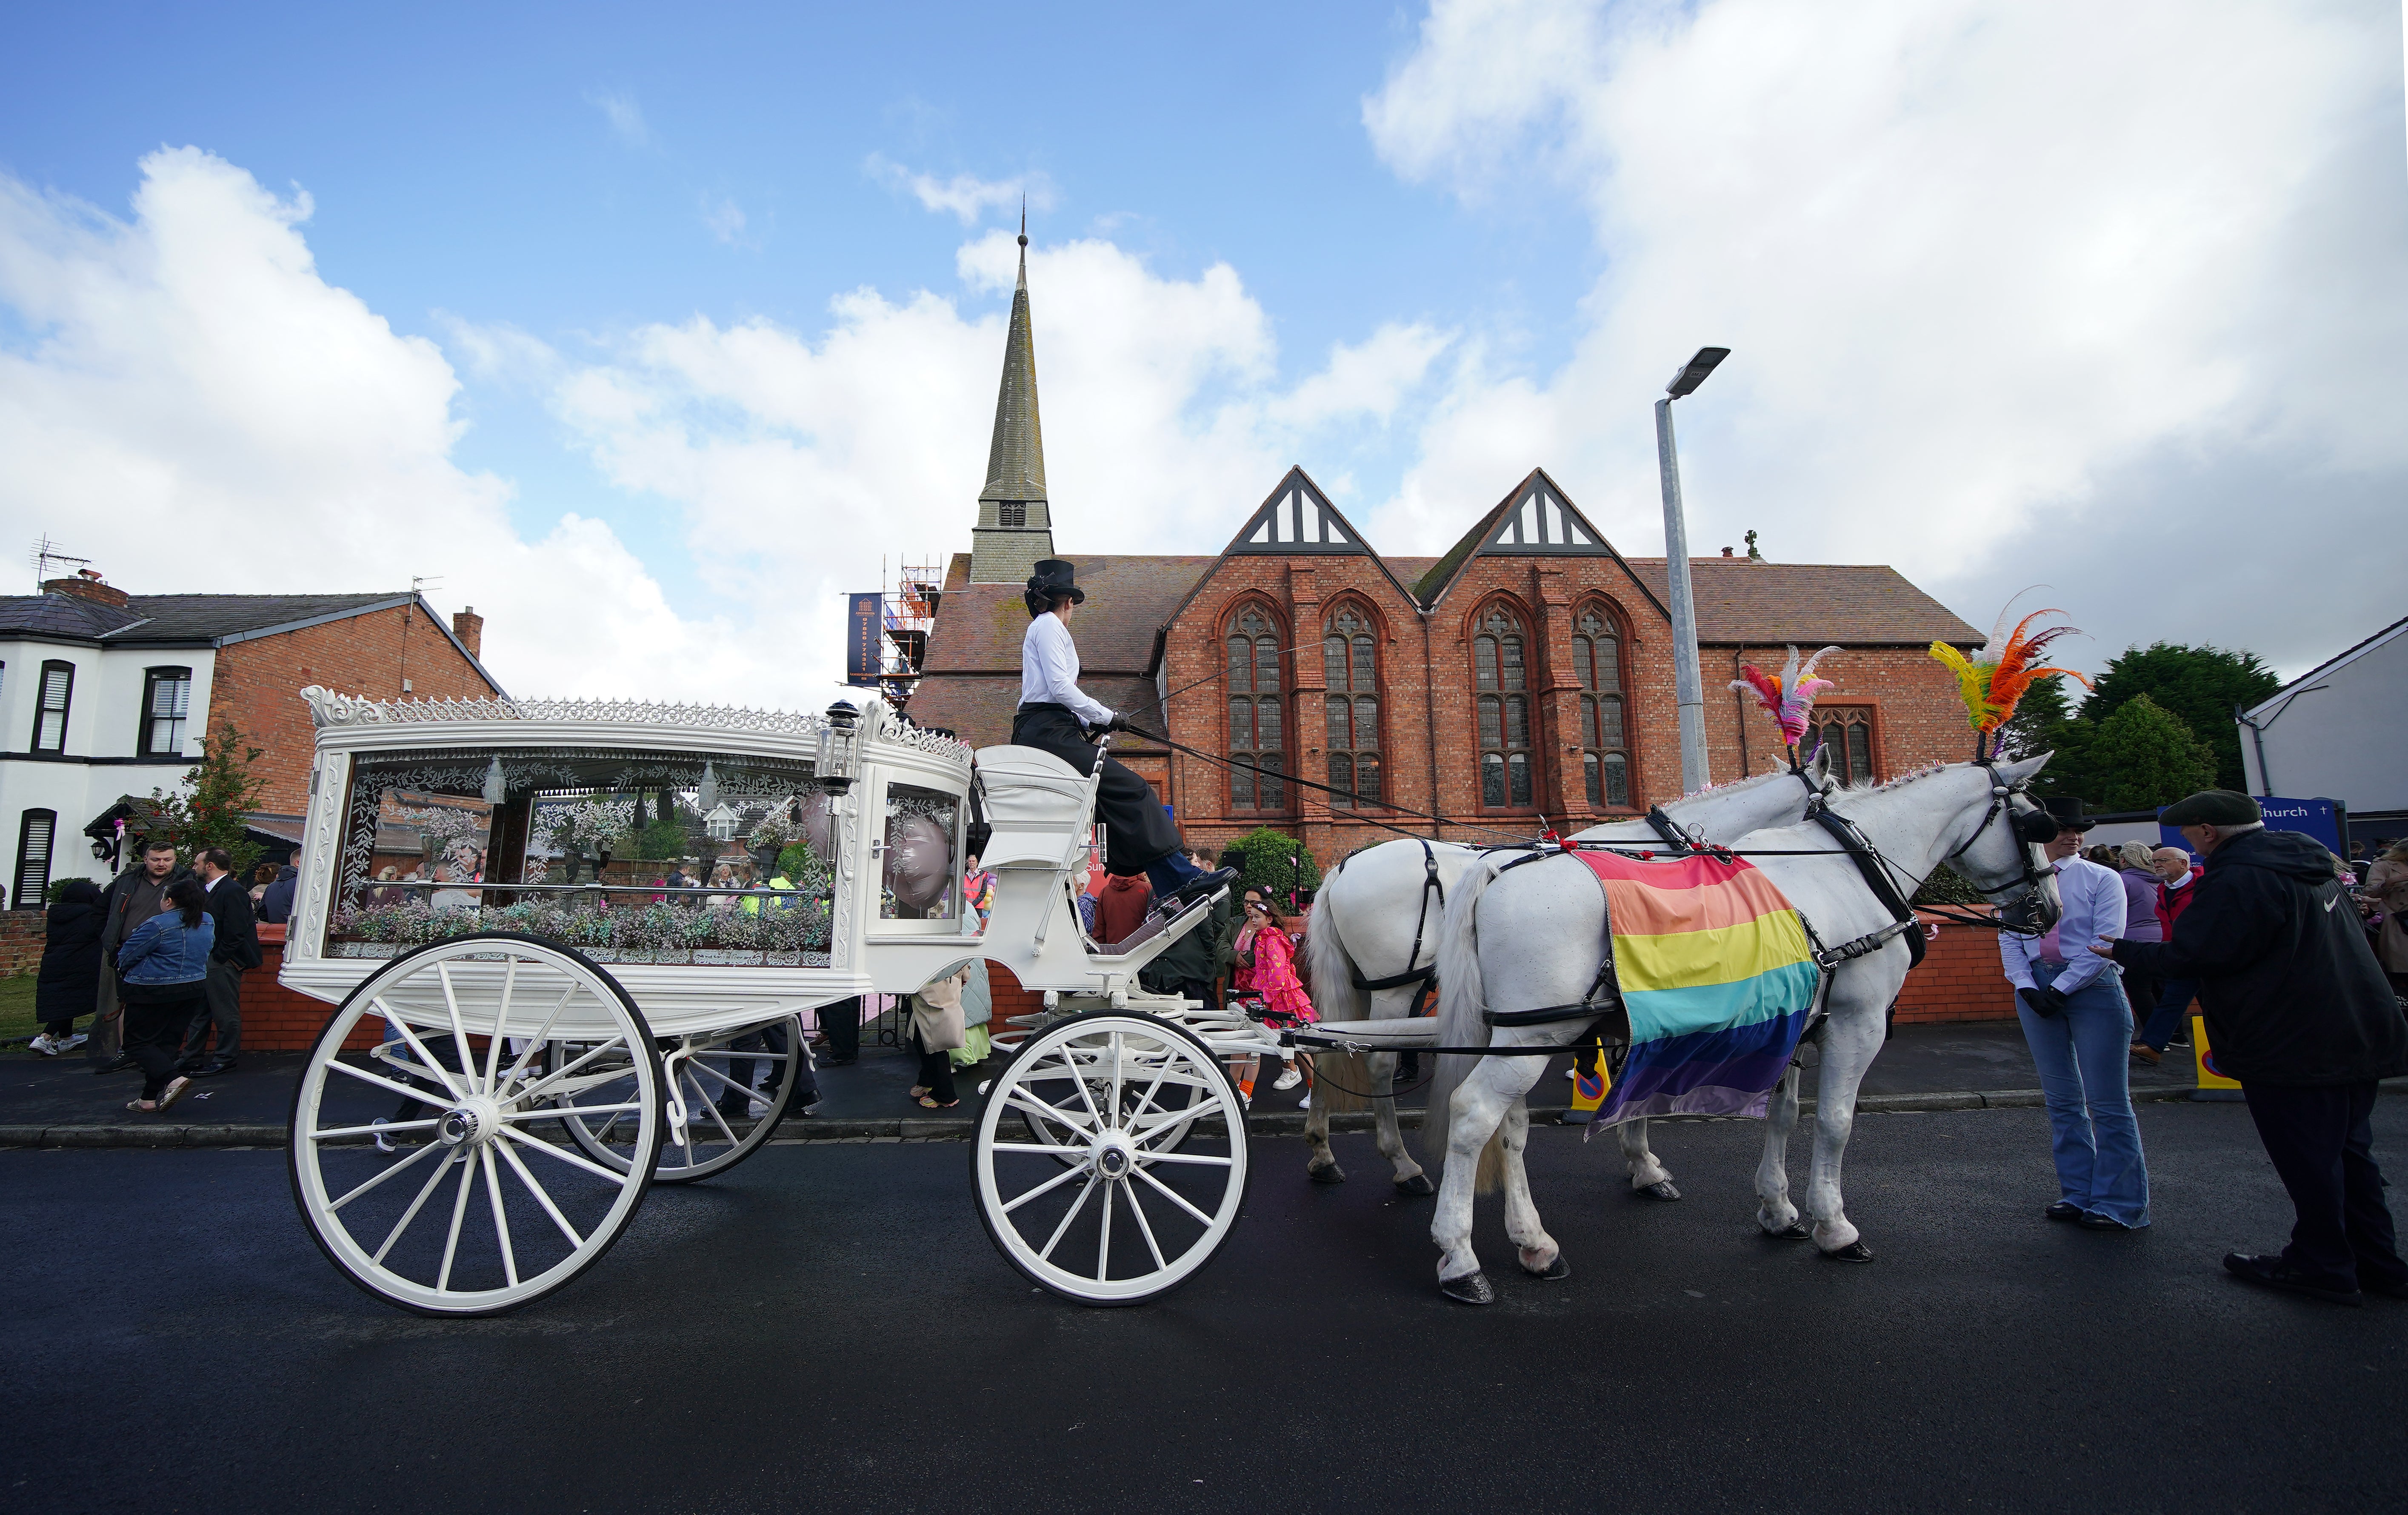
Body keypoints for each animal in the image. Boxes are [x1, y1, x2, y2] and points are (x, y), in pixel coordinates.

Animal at [1300, 751, 1840, 1195]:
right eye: (1834, 792)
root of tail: (1341, 869)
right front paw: (1644, 1161)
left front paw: (1640, 1159)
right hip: (1398, 984)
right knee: (1376, 1062)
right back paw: (1403, 1164)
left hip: (1362, 985)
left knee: (1322, 1040)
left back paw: (1323, 1152)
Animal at [1416, 756, 2061, 1301]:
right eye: (2036, 823)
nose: (2049, 910)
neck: (1845, 870)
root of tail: (1494, 869)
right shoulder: (1858, 1024)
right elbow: (1835, 1122)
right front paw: (1835, 1226)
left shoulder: (1788, 1023)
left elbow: (1783, 1114)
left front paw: (1777, 1209)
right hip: (1536, 1034)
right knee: (1473, 1113)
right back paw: (1459, 1258)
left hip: (1522, 1033)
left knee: (1509, 1125)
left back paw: (1534, 1243)